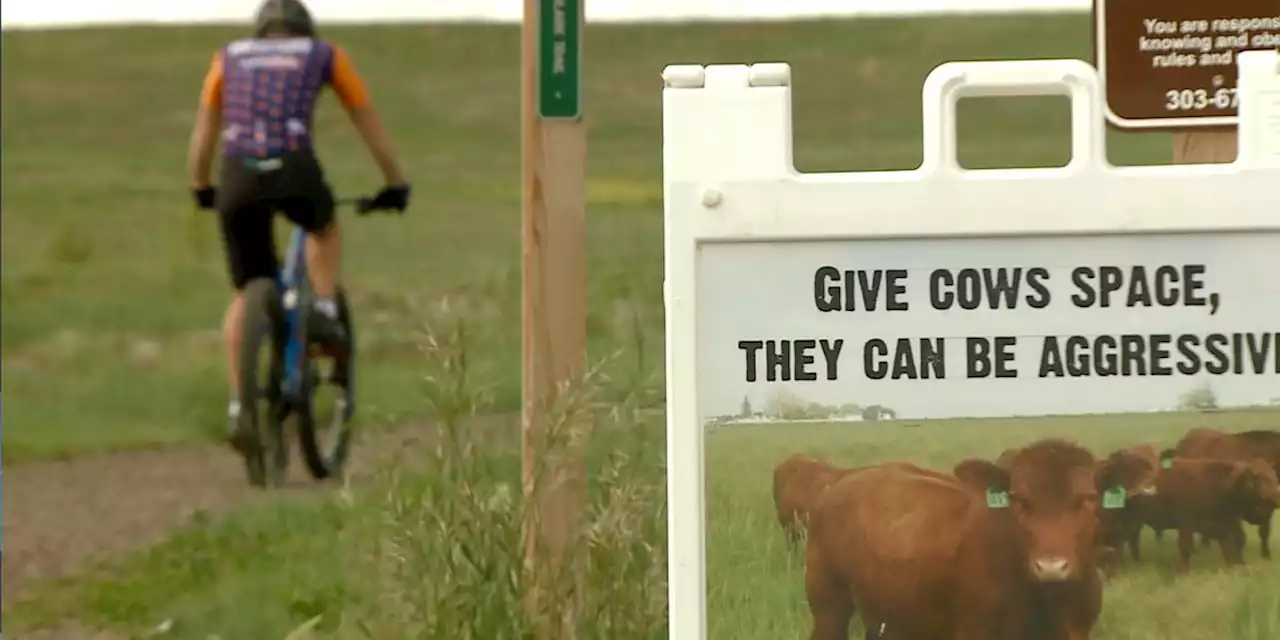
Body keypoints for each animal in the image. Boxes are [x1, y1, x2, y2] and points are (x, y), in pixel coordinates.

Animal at [1136, 453, 1274, 573]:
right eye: (1258, 478)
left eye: (1272, 475)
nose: (1273, 496)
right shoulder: (1187, 525)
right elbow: (1185, 547)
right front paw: (1183, 571)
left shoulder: (1225, 526)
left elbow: (1231, 547)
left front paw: (1235, 567)